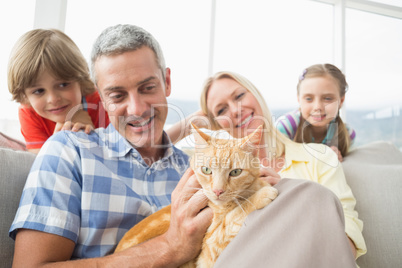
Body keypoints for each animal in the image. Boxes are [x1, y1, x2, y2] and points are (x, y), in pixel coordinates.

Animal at [114, 124, 278, 266]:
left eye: (235, 172)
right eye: (206, 170)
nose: (217, 191)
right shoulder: (209, 248)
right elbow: (233, 217)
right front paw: (261, 194)